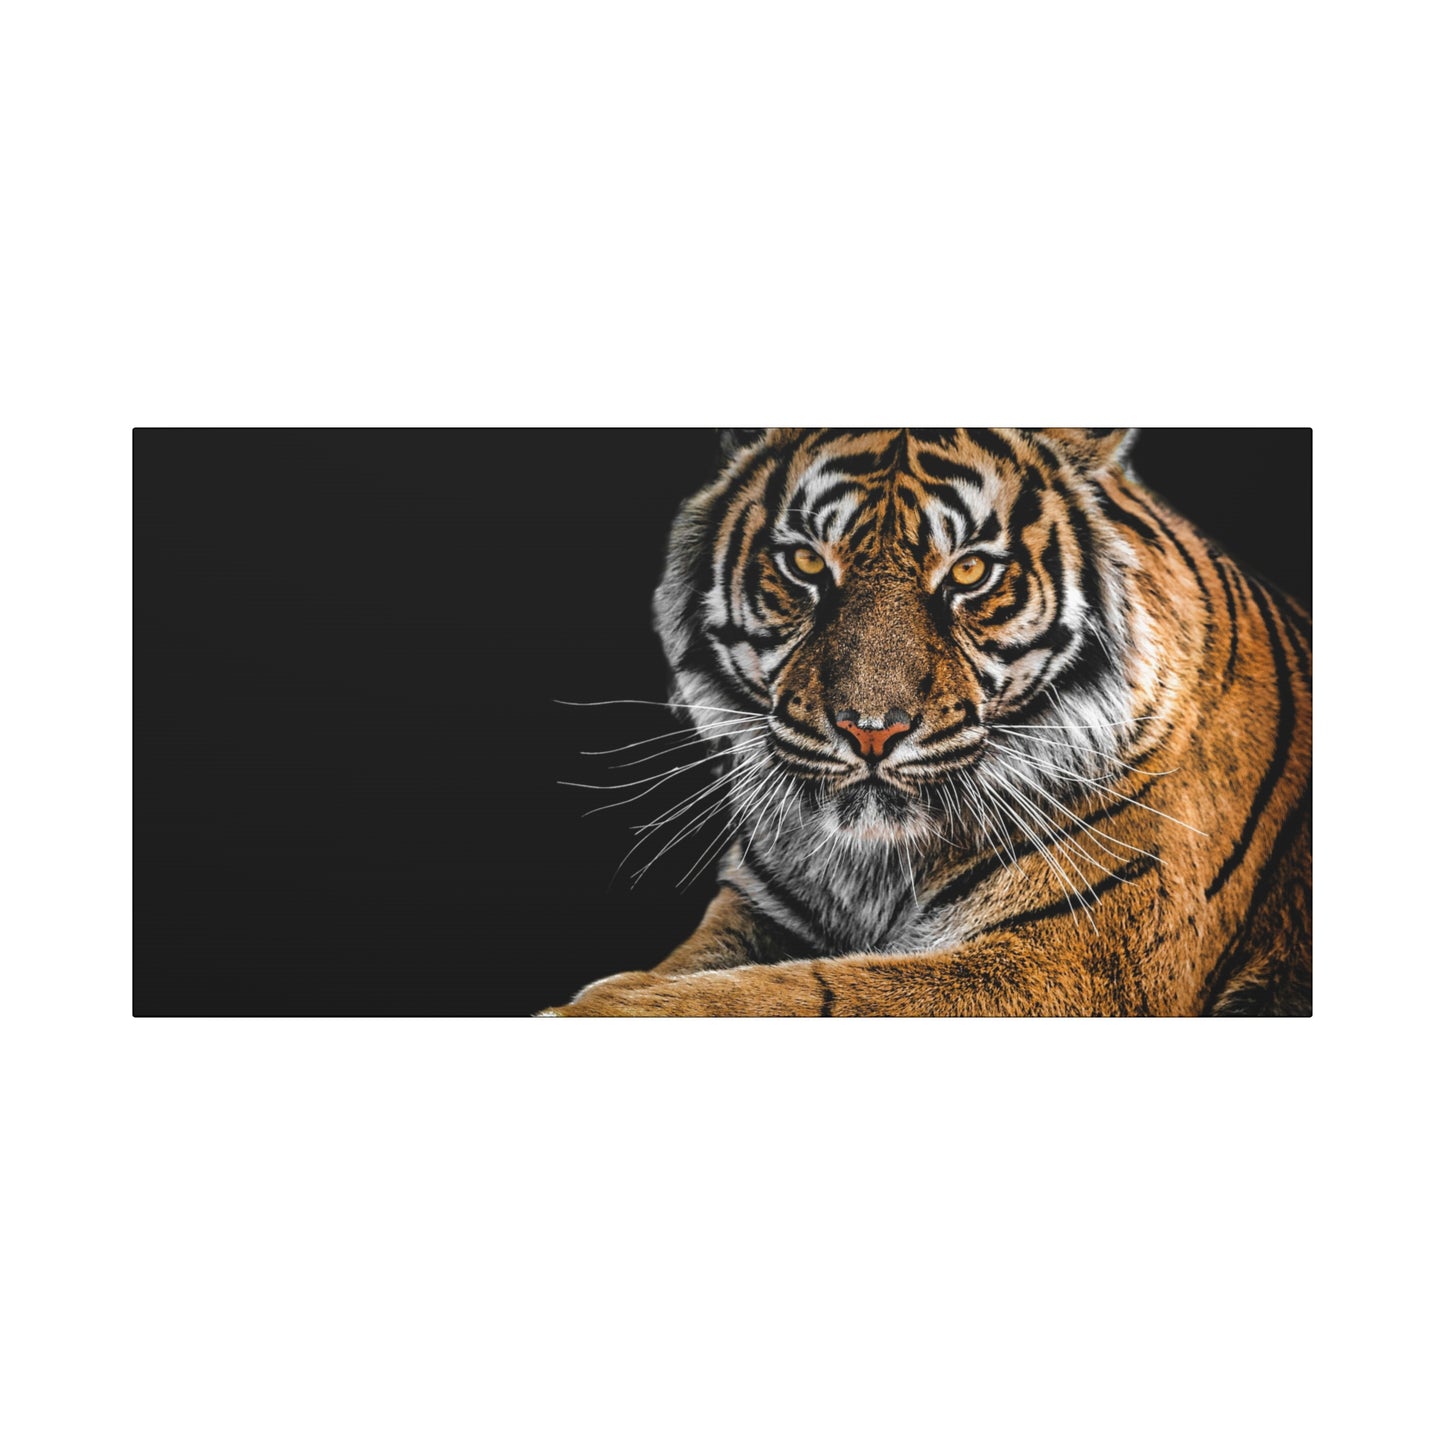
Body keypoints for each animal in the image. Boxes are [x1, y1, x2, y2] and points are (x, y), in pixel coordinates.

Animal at [542, 428, 1311, 1017]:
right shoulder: (758, 907)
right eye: (804, 563)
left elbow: (807, 993)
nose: (870, 730)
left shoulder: (1075, 957)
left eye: (969, 571)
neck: (874, 864)